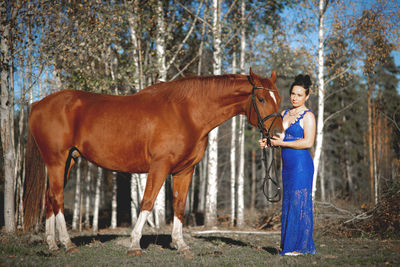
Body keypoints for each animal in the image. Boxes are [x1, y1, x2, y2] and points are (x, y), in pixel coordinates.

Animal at [23, 69, 282, 258]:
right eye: (261, 99)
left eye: (278, 98)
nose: (279, 134)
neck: (187, 113)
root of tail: (37, 105)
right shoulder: (160, 166)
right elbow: (147, 201)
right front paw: (134, 245)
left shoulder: (185, 170)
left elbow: (179, 205)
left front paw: (181, 245)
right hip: (56, 160)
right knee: (57, 197)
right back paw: (67, 244)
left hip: (69, 160)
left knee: (49, 197)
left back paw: (52, 245)